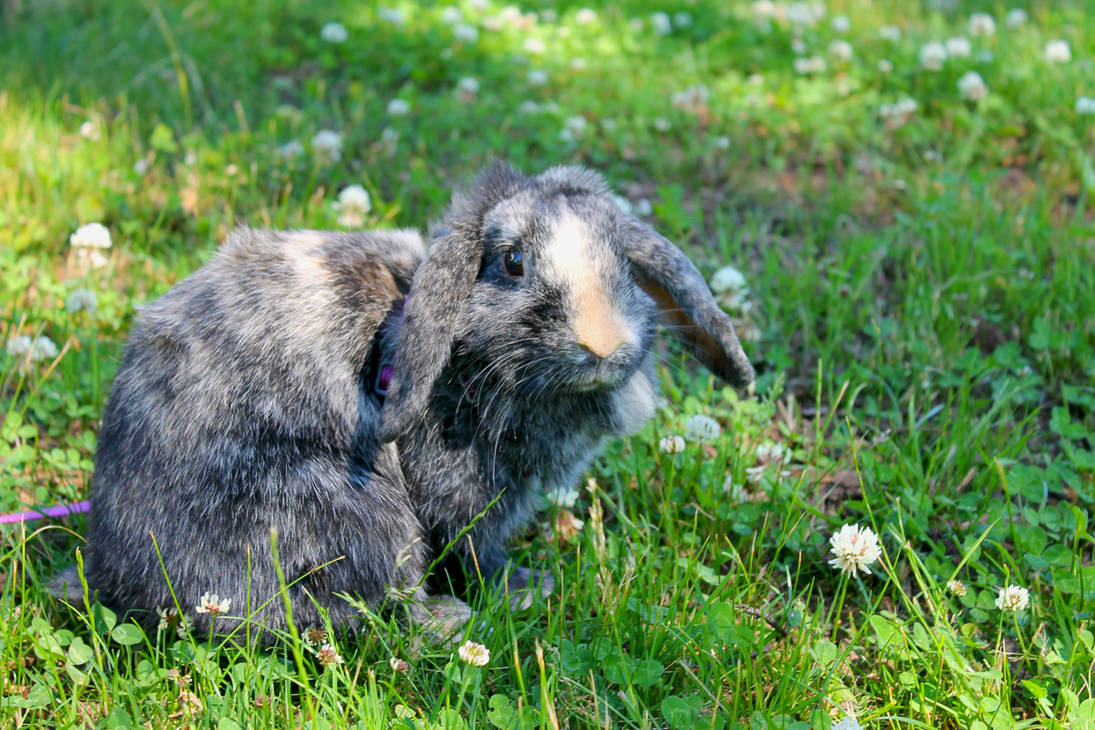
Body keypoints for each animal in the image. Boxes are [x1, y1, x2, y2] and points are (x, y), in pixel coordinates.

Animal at [55, 162, 754, 641]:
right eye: (513, 262)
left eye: (625, 266)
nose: (604, 343)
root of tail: (117, 580)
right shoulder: (461, 495)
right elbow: (476, 551)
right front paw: (523, 589)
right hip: (354, 514)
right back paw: (448, 620)